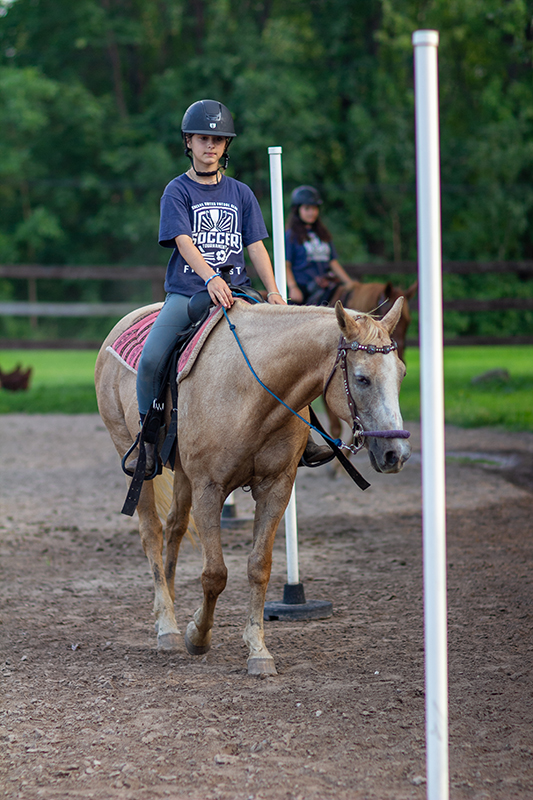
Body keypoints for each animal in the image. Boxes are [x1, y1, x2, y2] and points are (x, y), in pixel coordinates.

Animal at [95, 296, 410, 672]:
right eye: (362, 379)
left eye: (402, 373)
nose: (396, 453)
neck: (251, 392)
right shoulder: (209, 489)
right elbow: (215, 573)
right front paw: (197, 635)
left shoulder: (276, 487)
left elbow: (259, 567)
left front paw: (258, 650)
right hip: (135, 458)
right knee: (152, 533)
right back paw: (167, 627)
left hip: (182, 472)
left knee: (174, 527)